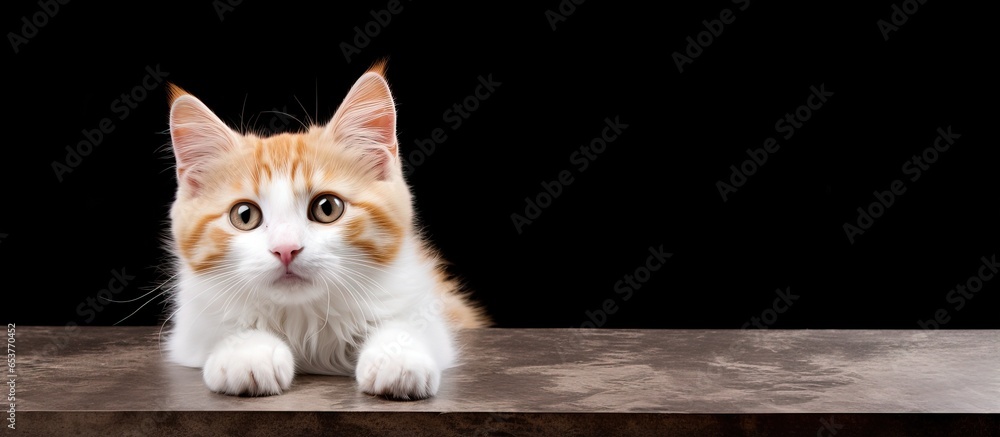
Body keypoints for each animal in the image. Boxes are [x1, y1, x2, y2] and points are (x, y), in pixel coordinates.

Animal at [161, 62, 488, 398]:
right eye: (245, 215)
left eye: (327, 208)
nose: (286, 249)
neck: (303, 318)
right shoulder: (190, 329)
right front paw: (248, 352)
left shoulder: (425, 304)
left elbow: (406, 324)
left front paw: (397, 357)